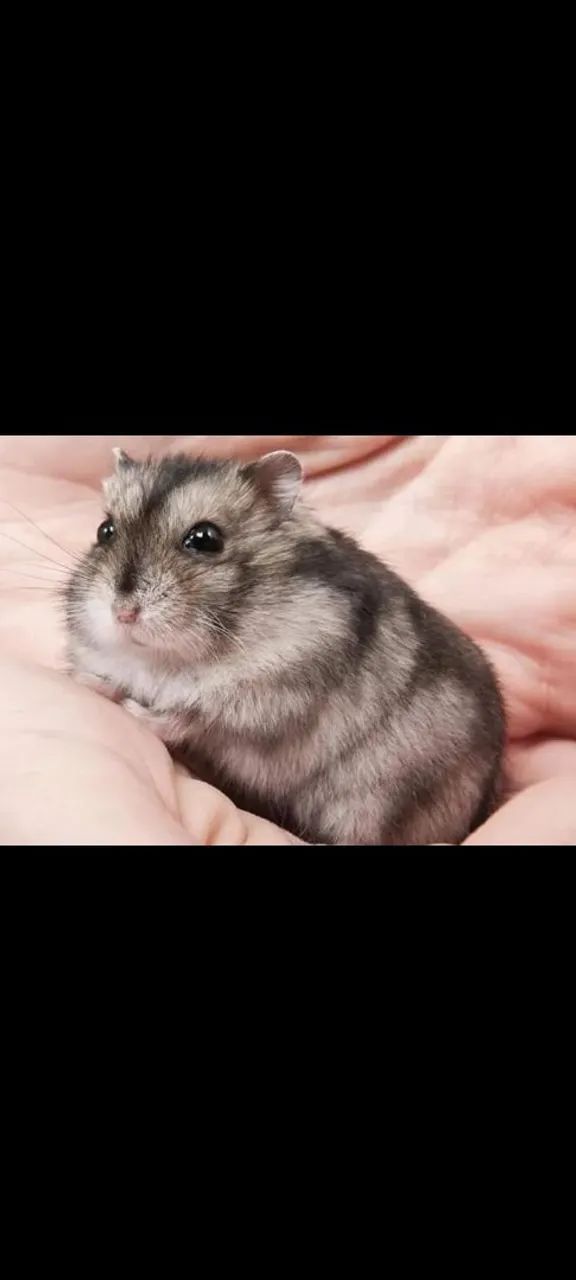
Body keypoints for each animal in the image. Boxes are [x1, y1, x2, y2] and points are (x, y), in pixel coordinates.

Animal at [64, 448, 506, 845]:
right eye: (105, 531)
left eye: (205, 539)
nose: (123, 613)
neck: (169, 658)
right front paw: (88, 680)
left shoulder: (270, 696)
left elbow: (188, 718)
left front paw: (131, 708)